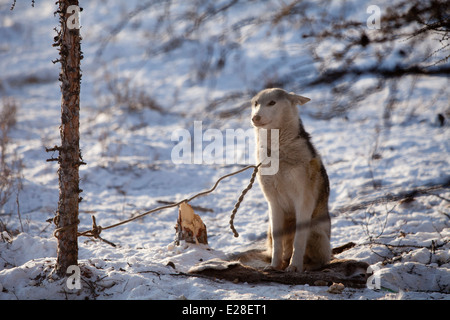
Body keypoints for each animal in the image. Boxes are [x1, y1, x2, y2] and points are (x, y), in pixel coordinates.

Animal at [253, 87, 330, 272]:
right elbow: (278, 242)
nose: (255, 117)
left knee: (323, 259)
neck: (278, 152)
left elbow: (298, 241)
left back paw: (307, 265)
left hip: (315, 233)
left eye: (272, 103)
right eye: (256, 103)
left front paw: (294, 267)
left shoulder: (303, 200)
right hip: (269, 232)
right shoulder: (273, 202)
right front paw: (274, 266)